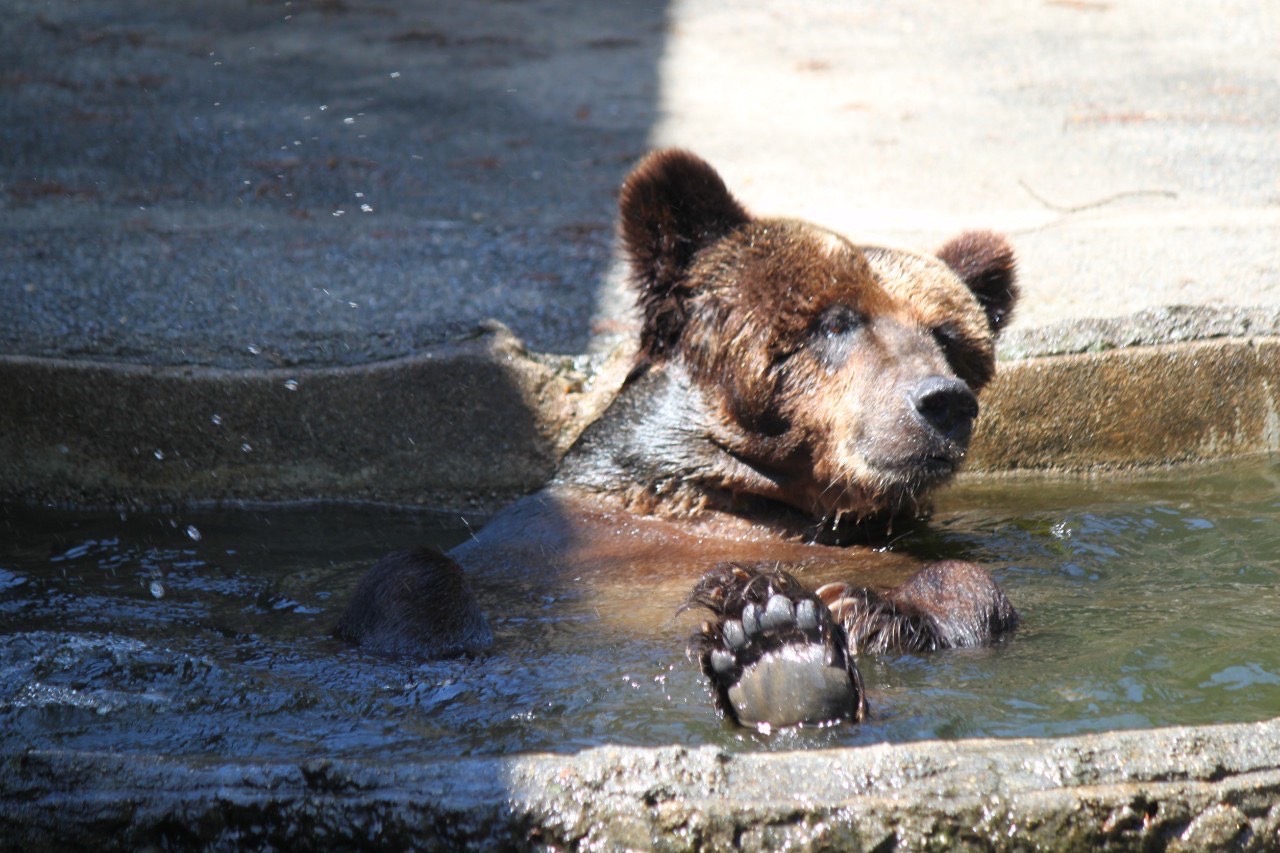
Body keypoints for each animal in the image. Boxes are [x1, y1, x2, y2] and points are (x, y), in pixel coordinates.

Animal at [335, 149, 1013, 727]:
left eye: (947, 336)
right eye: (836, 321)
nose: (943, 402)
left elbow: (967, 586)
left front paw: (863, 610)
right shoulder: (546, 544)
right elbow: (410, 575)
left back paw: (783, 652)